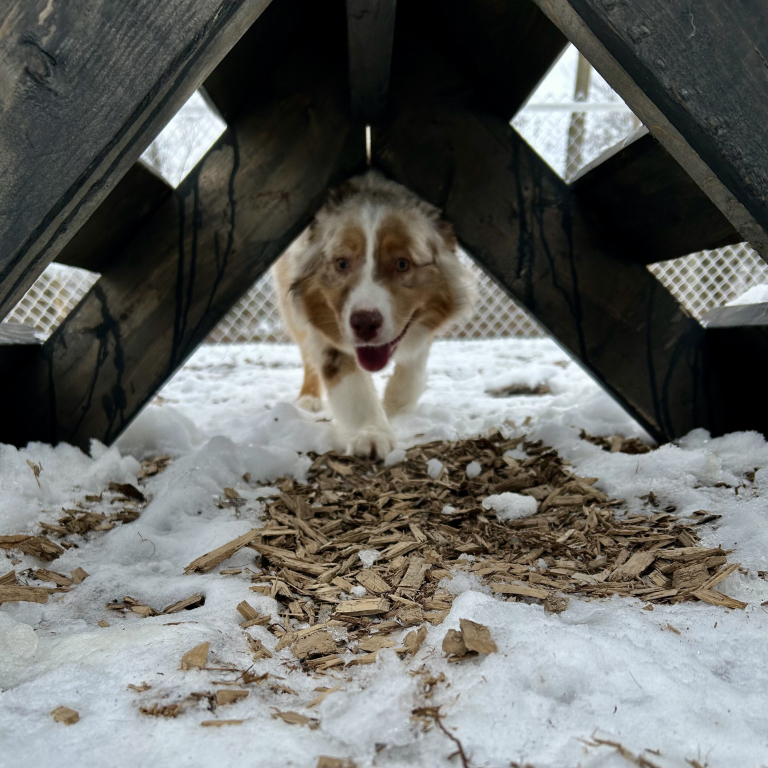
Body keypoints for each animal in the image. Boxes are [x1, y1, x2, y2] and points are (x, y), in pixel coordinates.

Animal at [272, 172, 472, 456]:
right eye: (342, 263)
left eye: (402, 264)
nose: (364, 323)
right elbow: (352, 383)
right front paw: (372, 432)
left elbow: (413, 368)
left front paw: (393, 405)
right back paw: (308, 398)